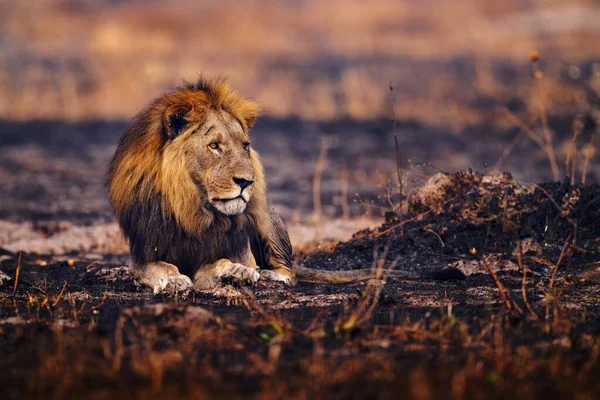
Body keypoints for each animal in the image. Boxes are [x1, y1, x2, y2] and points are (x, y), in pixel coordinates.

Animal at [108, 77, 420, 294]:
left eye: (245, 146)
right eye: (214, 146)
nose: (247, 181)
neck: (196, 210)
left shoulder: (240, 251)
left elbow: (217, 266)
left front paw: (233, 273)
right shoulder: (143, 253)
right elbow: (158, 267)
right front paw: (173, 279)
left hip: (265, 216)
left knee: (288, 270)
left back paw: (271, 275)